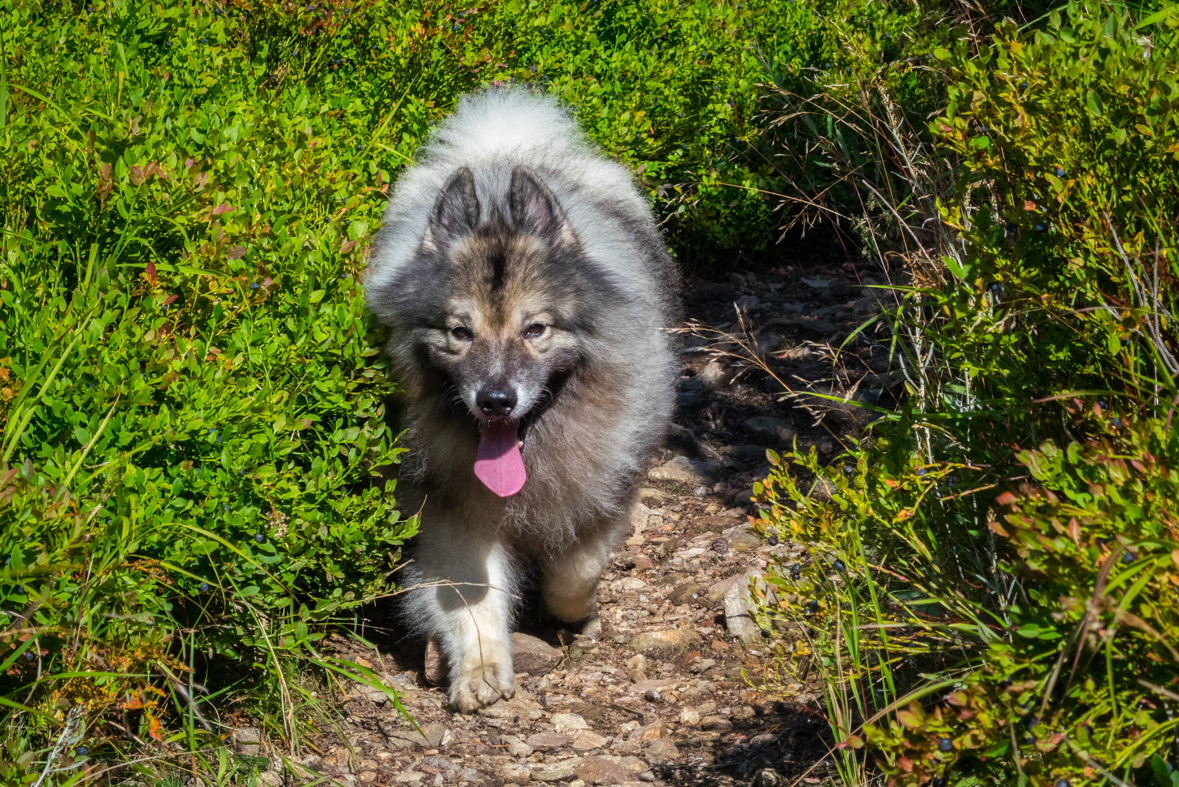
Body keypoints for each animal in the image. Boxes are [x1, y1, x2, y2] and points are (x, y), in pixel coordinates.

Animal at [363, 87, 679, 711]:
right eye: (460, 333)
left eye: (535, 330)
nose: (495, 400)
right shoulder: (454, 511)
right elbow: (473, 597)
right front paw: (479, 669)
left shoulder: (606, 489)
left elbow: (576, 570)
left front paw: (573, 615)